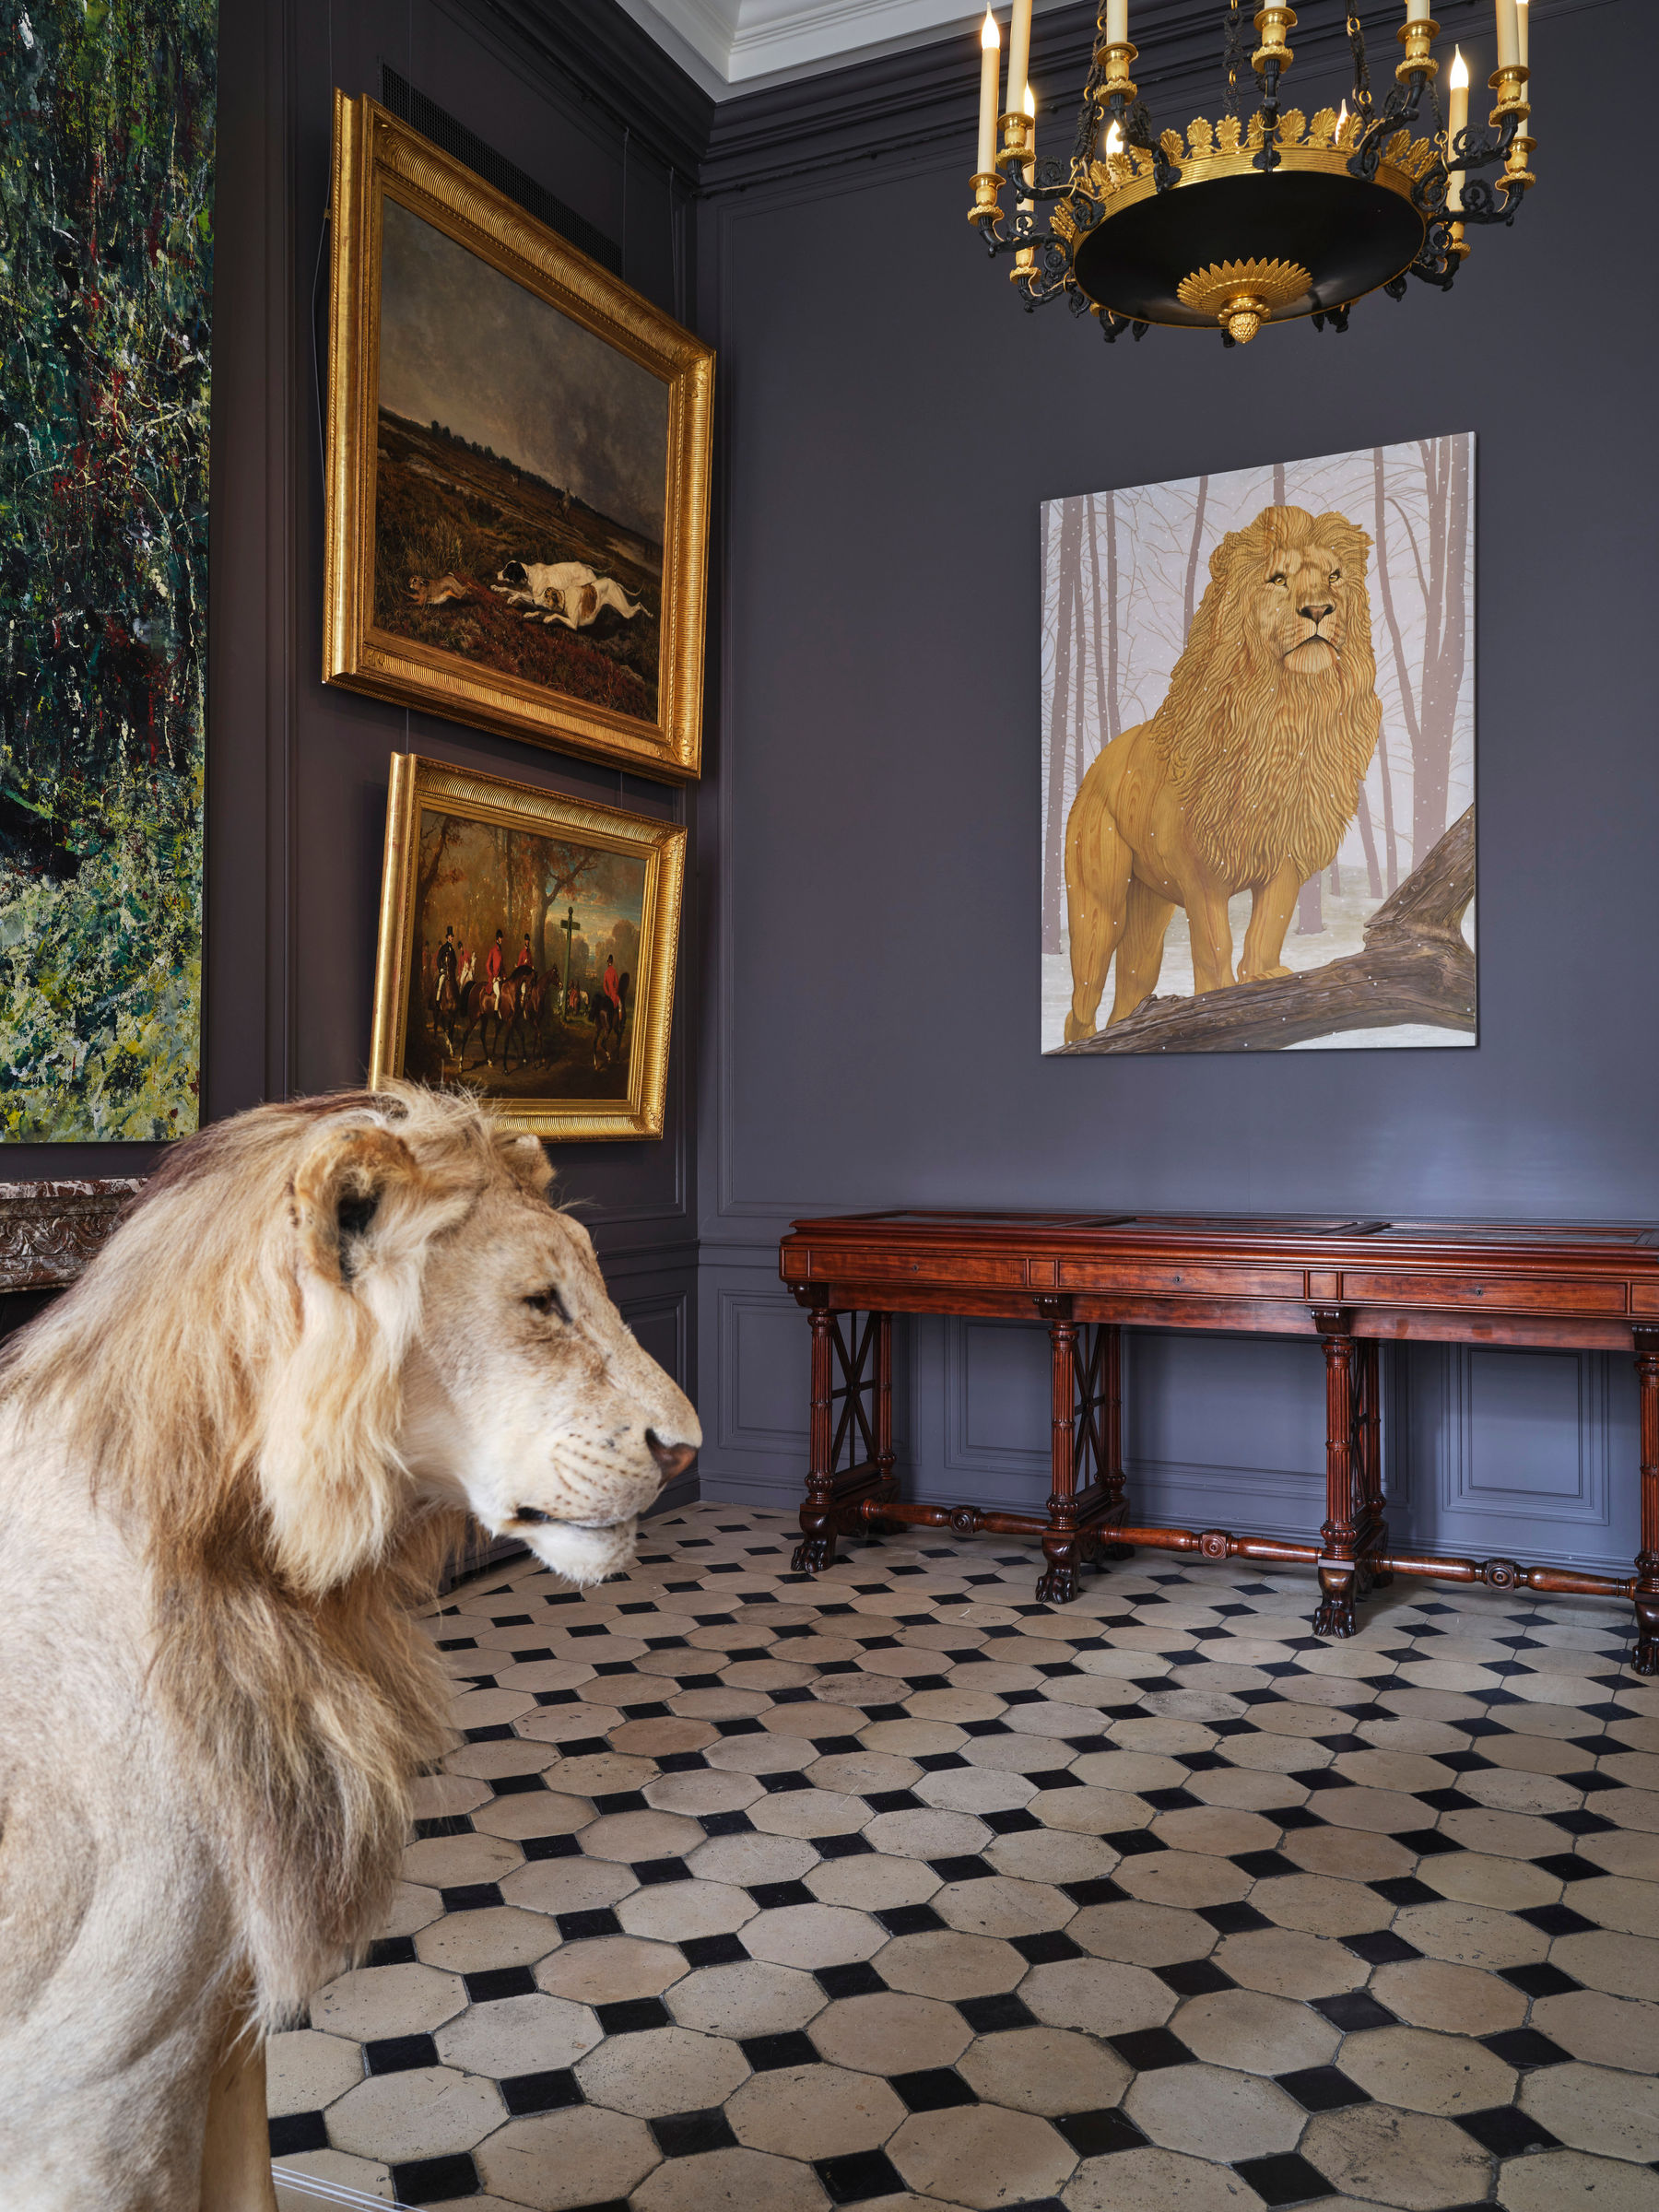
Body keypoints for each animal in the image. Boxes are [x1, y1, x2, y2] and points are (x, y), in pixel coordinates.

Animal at [1063, 504, 1382, 1038]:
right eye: (1278, 579)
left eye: (1335, 577)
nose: (1319, 611)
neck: (1286, 714)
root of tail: (1098, 761)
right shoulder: (1201, 874)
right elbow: (1214, 944)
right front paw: (1215, 998)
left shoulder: (1285, 857)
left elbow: (1268, 927)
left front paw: (1263, 979)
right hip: (1099, 905)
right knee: (1081, 1001)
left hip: (1148, 907)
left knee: (1130, 989)